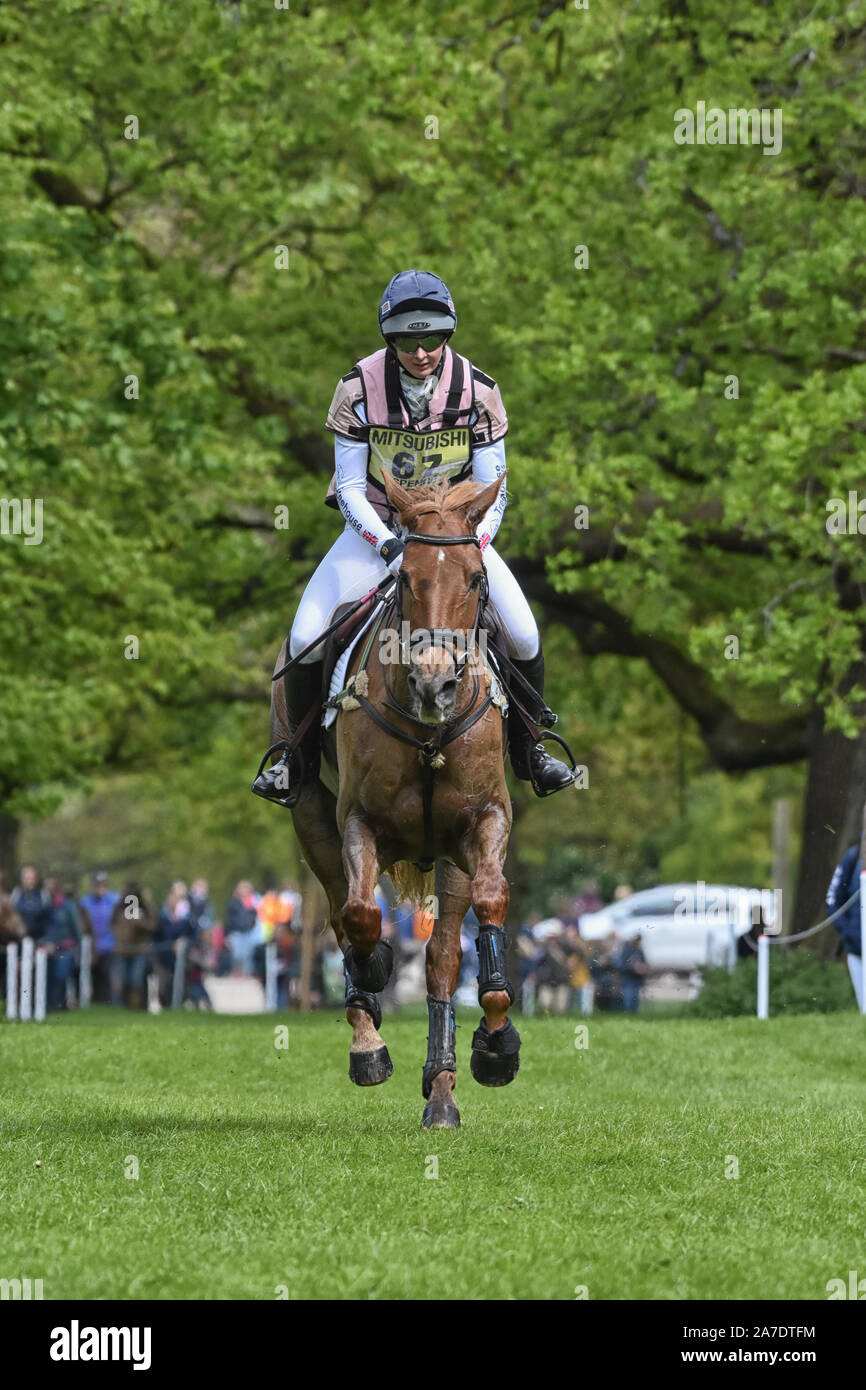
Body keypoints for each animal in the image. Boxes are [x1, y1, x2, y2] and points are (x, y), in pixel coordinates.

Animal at [268, 467, 522, 1128]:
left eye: (476, 579)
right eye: (405, 576)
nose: (436, 686)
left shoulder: (484, 821)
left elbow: (489, 908)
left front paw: (496, 1045)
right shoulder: (358, 821)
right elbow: (360, 916)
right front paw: (373, 983)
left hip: (451, 859)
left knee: (441, 959)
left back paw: (443, 1089)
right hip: (309, 812)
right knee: (340, 910)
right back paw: (369, 1035)